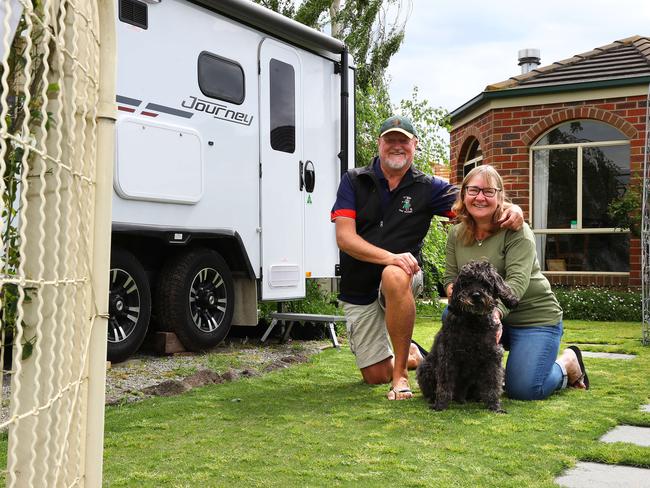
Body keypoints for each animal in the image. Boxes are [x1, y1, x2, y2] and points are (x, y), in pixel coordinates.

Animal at [416, 260, 516, 412]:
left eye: (485, 282)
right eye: (466, 283)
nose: (475, 295)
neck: (473, 322)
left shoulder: (492, 357)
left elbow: (493, 383)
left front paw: (495, 406)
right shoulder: (448, 356)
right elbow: (444, 384)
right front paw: (440, 405)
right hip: (425, 368)